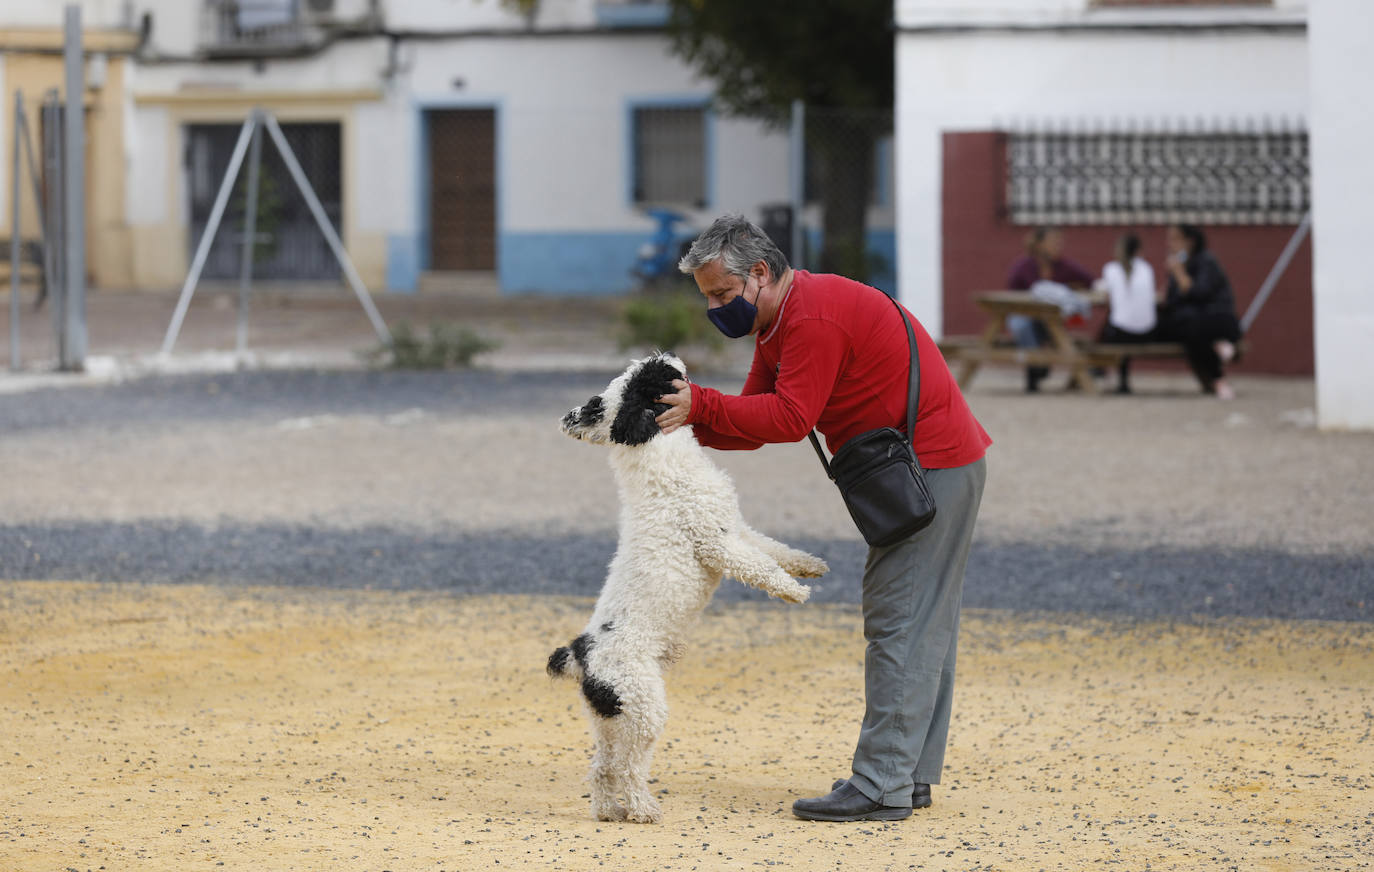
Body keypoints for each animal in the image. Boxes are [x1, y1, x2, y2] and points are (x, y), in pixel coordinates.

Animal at [546, 351, 824, 823]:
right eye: (642, 380)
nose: (663, 355)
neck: (658, 457)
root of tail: (582, 655)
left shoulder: (736, 528)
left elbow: (773, 549)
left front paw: (809, 567)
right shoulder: (716, 543)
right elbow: (759, 567)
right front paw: (793, 591)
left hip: (609, 718)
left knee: (601, 766)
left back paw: (608, 811)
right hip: (644, 710)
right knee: (627, 767)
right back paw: (643, 810)